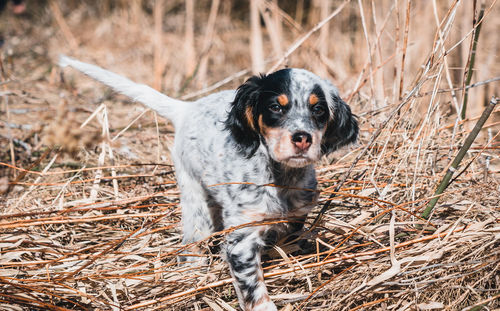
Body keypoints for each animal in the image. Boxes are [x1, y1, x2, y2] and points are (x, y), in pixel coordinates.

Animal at [58, 56, 358, 311]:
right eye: (275, 107)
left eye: (318, 109)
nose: (302, 138)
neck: (280, 178)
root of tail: (187, 108)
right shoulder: (242, 238)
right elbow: (252, 286)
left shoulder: (295, 218)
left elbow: (288, 245)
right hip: (195, 203)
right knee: (191, 246)